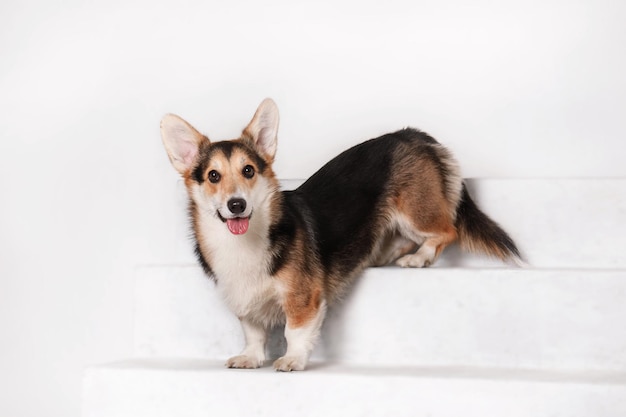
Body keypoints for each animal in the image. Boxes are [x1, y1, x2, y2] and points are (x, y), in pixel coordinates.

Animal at [158, 98, 520, 370]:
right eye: (213, 176)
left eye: (248, 171)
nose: (237, 205)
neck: (243, 243)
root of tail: (413, 135)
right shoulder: (244, 301)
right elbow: (253, 332)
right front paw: (251, 357)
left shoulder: (303, 299)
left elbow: (294, 331)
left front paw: (292, 360)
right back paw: (383, 255)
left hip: (415, 212)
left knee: (447, 230)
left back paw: (419, 258)